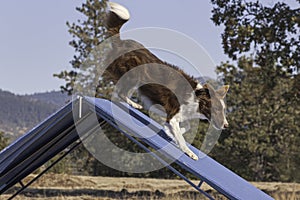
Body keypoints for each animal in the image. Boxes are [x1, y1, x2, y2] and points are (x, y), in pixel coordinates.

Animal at [102, 2, 229, 160]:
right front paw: (190, 152)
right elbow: (181, 137)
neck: (197, 98)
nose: (226, 125)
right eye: (217, 109)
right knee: (120, 92)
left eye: (223, 110)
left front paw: (169, 132)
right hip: (136, 75)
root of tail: (122, 42)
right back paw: (133, 104)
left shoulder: (178, 115)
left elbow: (184, 127)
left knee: (119, 92)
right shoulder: (173, 114)